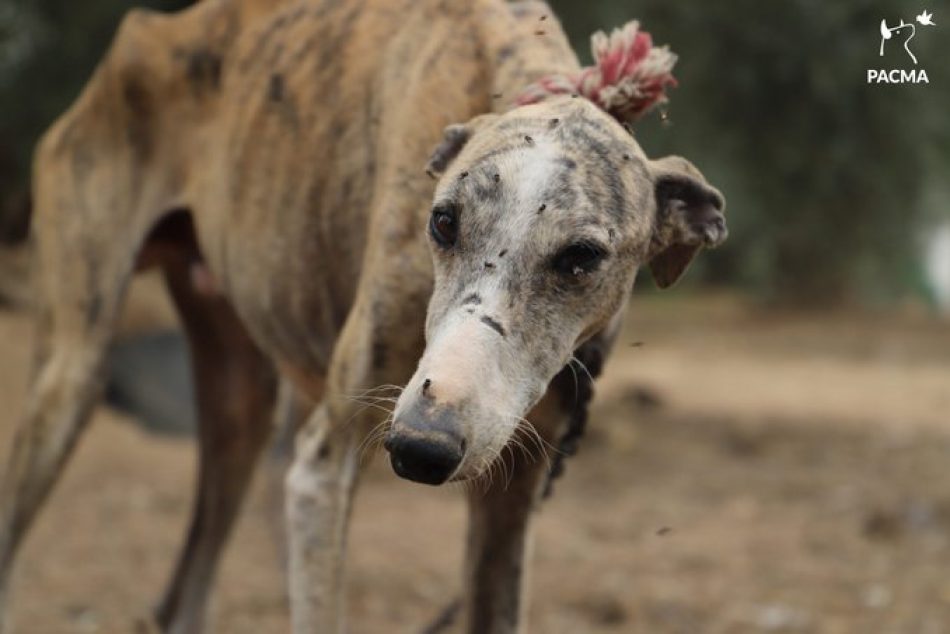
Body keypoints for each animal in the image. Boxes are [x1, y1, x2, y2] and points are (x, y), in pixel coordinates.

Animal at [1, 0, 728, 628]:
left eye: (581, 257)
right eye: (442, 221)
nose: (420, 448)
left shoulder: (511, 498)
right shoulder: (320, 472)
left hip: (239, 404)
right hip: (69, 377)